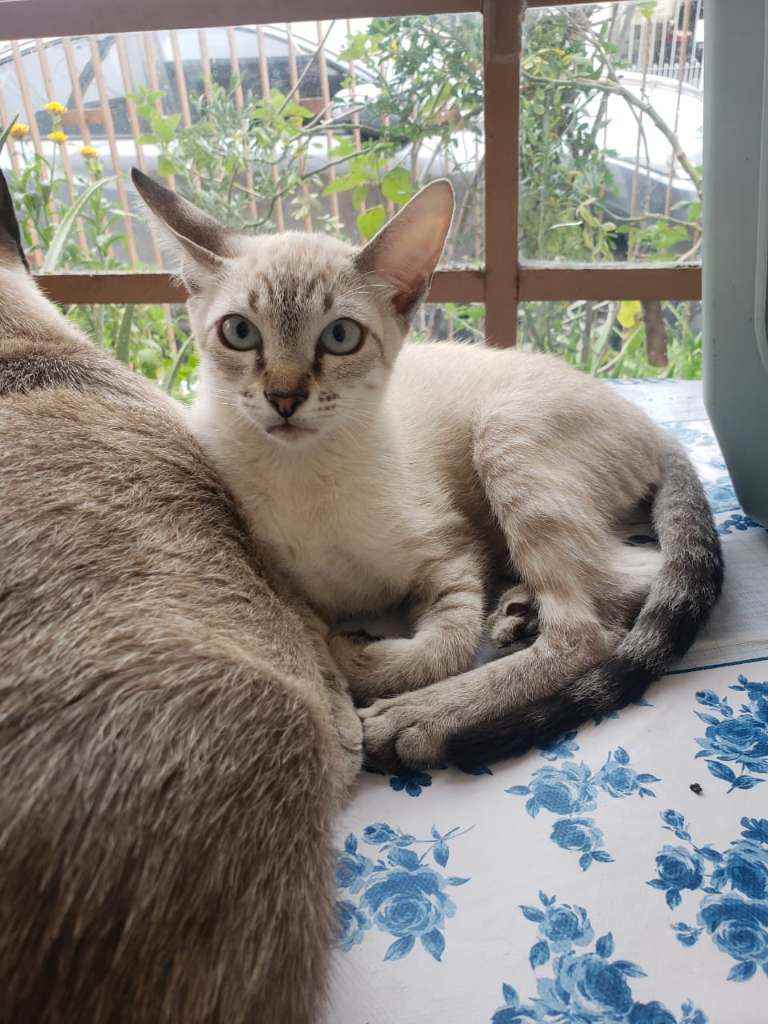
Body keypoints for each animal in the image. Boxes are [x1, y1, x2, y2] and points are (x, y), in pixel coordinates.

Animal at [132, 167, 723, 773]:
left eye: (340, 337)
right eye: (240, 332)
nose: (285, 397)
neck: (304, 475)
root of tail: (653, 425)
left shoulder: (454, 555)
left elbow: (444, 646)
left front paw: (362, 667)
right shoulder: (278, 580)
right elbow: (307, 632)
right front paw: (335, 670)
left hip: (506, 435)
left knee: (596, 622)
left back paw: (426, 717)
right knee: (626, 573)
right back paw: (519, 610)